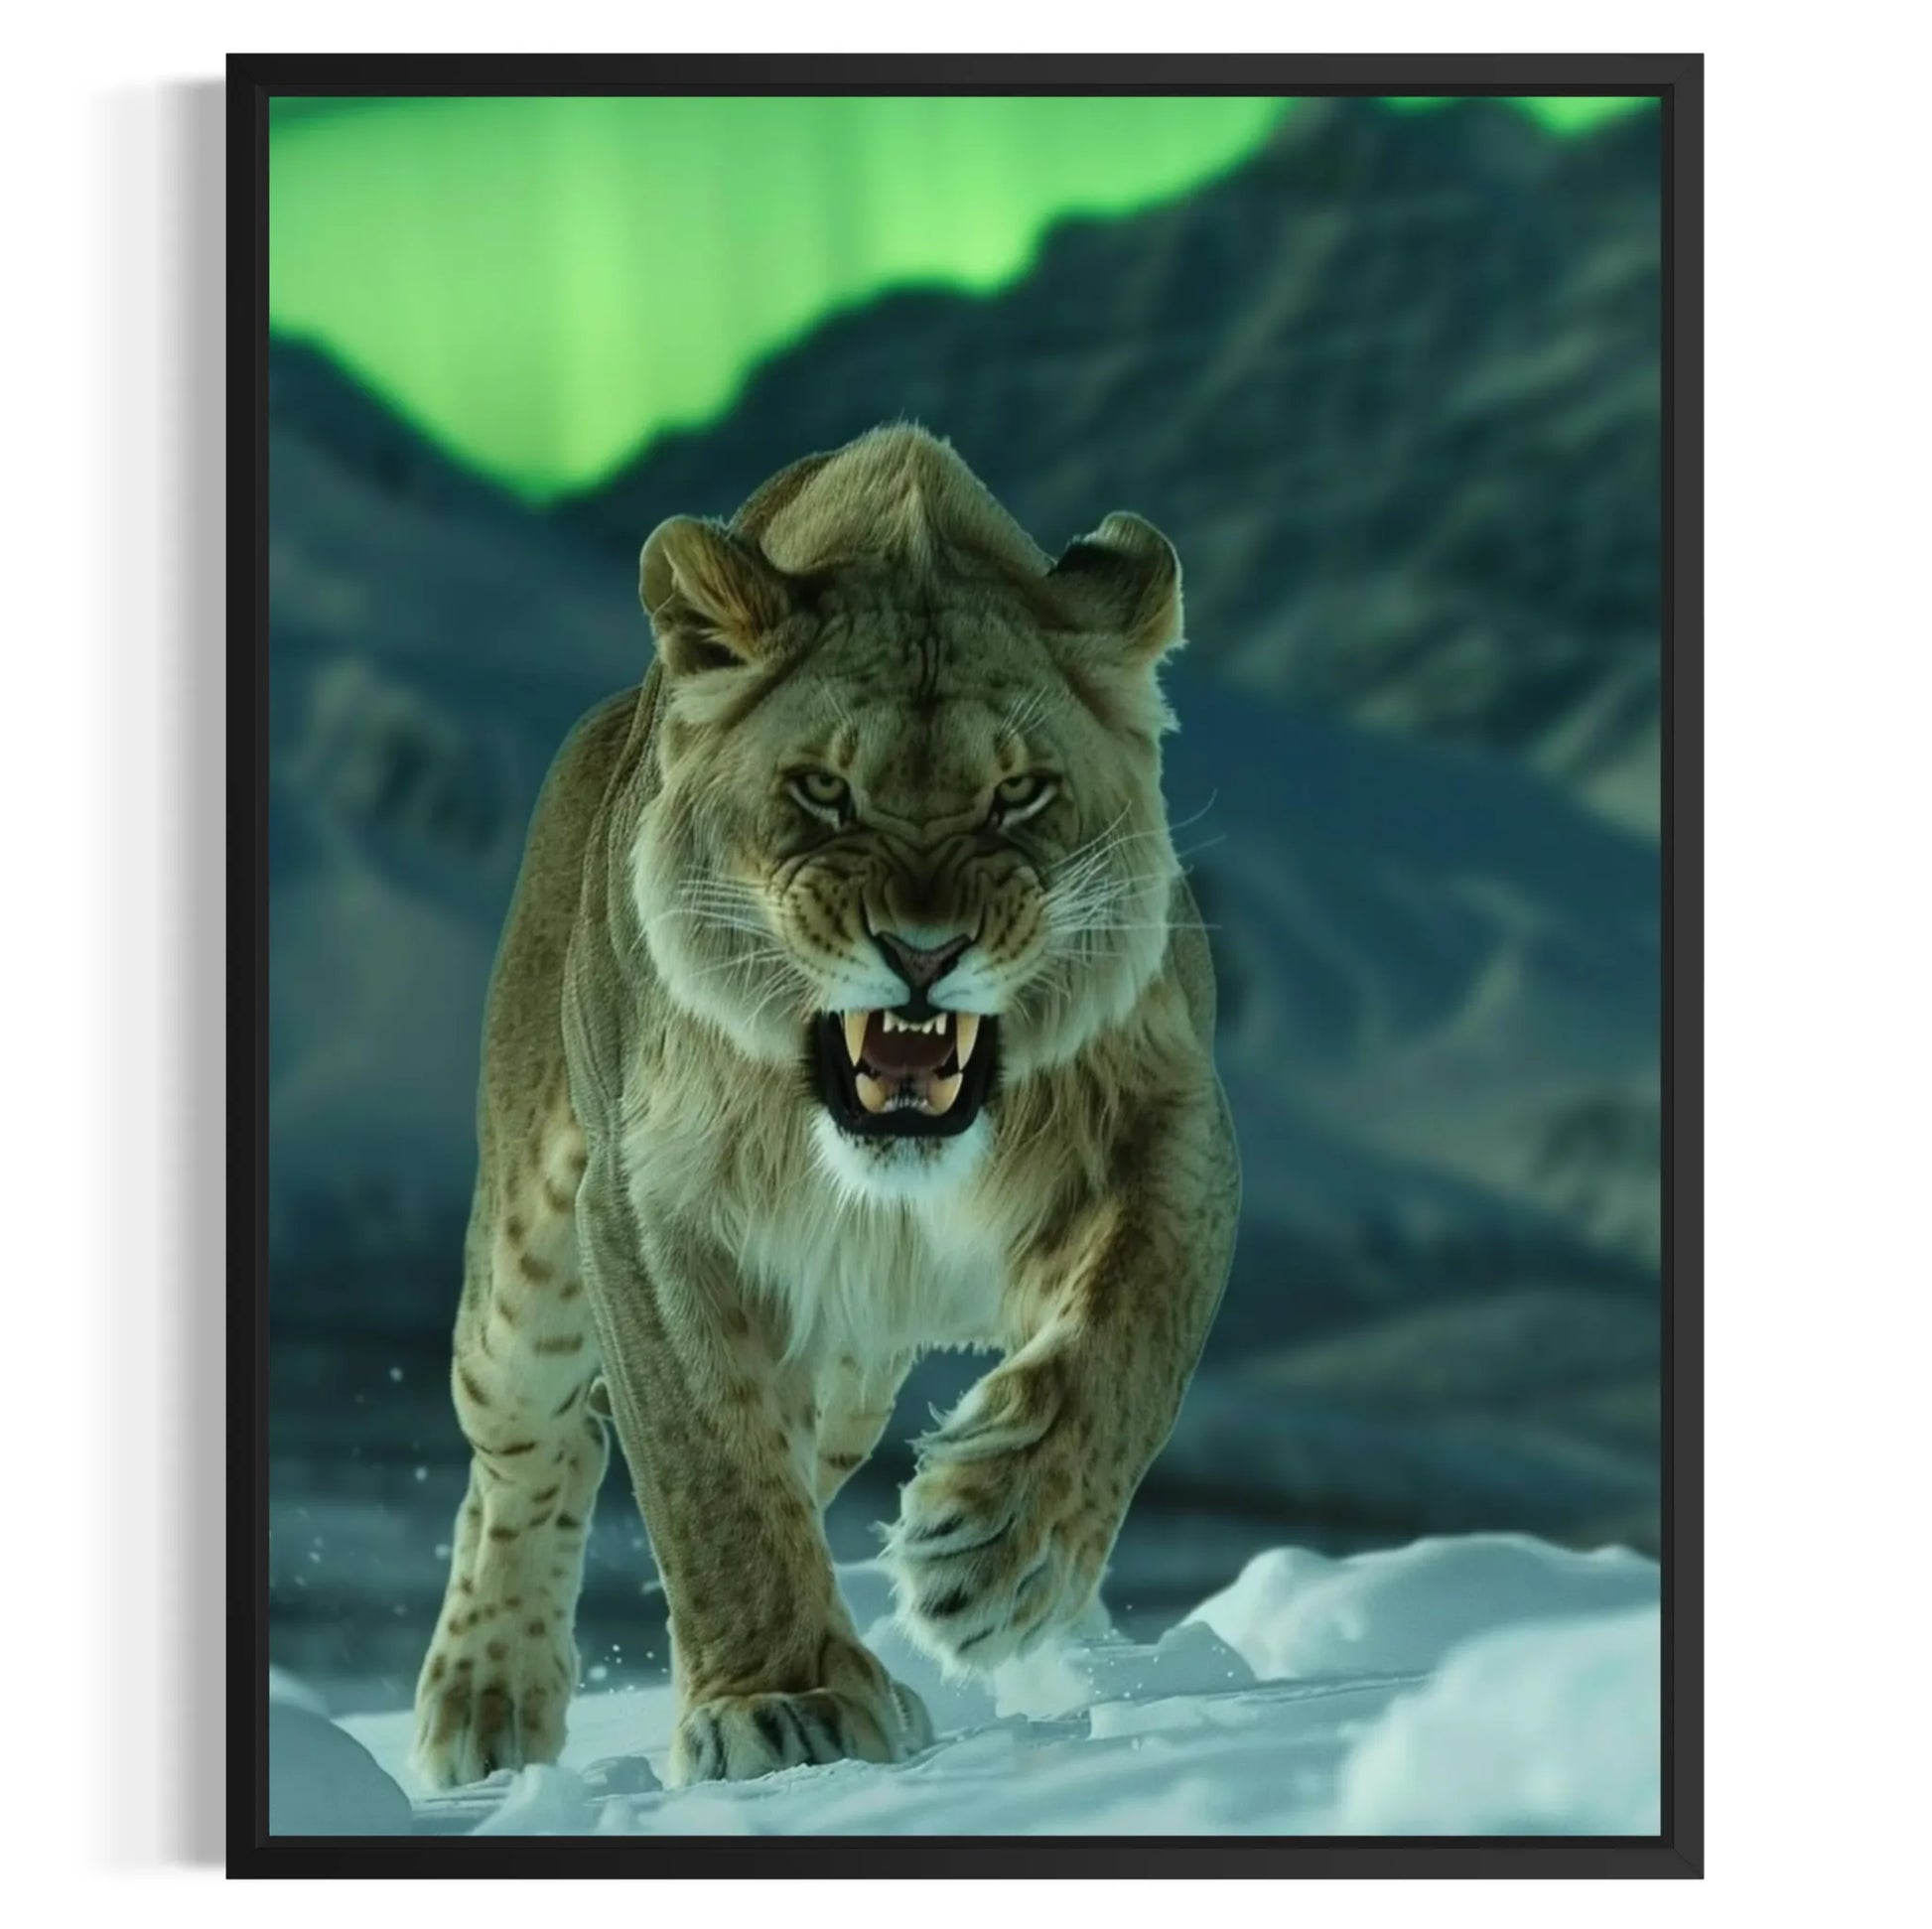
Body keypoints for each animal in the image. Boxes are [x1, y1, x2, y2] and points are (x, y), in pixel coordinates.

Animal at [410, 424, 1240, 1791]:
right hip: (523, 1260)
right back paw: (484, 1701)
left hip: (851, 1377)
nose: (923, 950)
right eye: (821, 792)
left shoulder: (1167, 1120)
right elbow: (709, 1466)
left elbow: (1128, 1339)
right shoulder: (647, 1203)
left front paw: (995, 1551)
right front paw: (783, 1701)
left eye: (1018, 796)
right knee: (535, 1443)